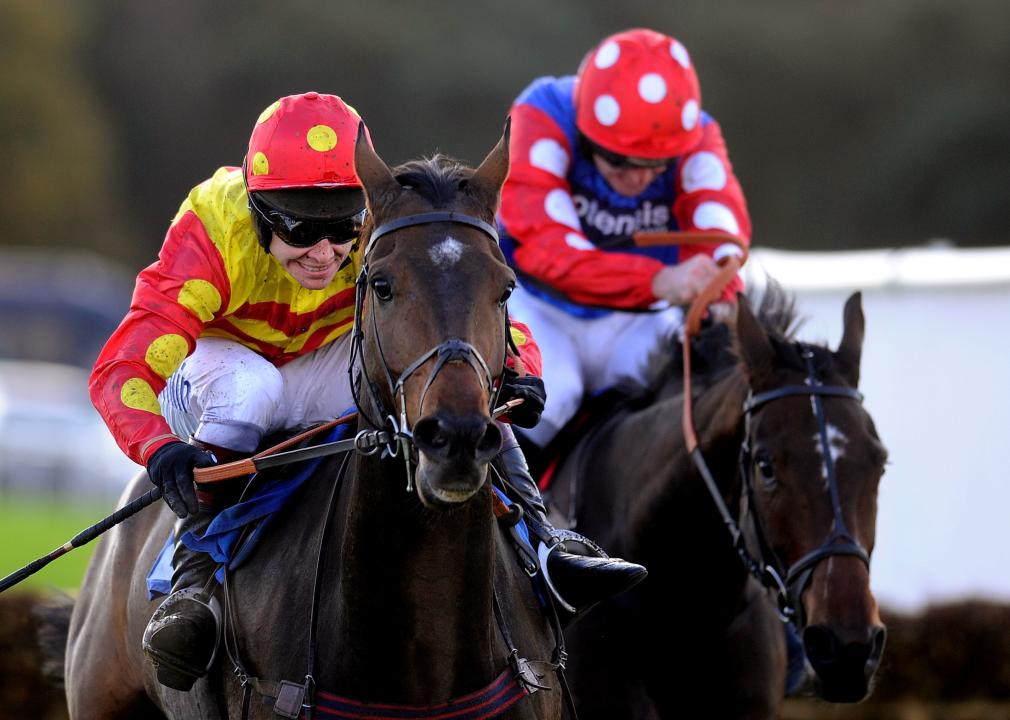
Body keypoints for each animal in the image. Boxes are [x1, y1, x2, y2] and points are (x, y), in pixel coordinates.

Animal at [61, 126, 569, 714]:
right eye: (382, 285)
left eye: (506, 288)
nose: (456, 440)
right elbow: (142, 344)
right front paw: (175, 463)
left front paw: (525, 391)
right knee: (242, 394)